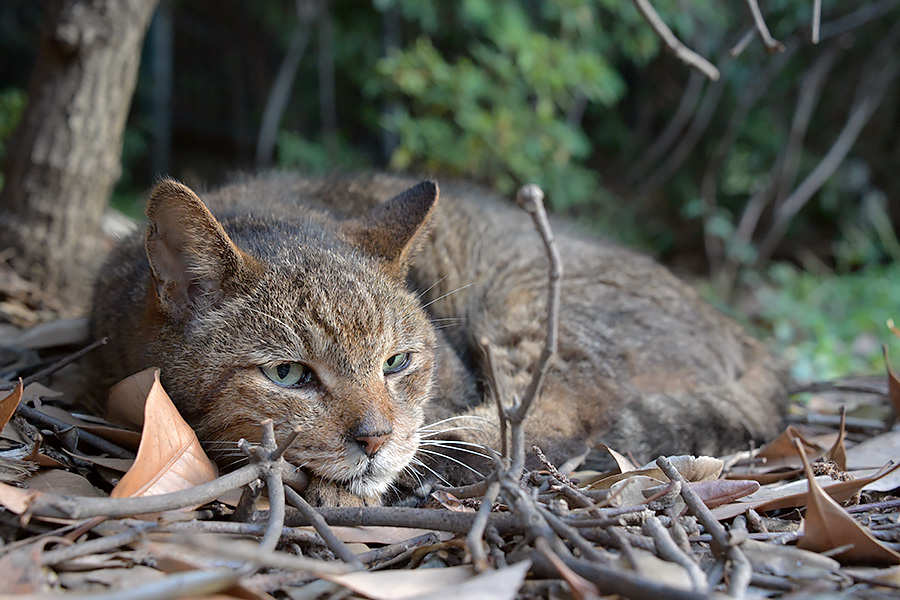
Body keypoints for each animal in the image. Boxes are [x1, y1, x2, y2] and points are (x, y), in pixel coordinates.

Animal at [88, 172, 784, 506]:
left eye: (397, 363)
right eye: (287, 376)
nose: (374, 439)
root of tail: (751, 342)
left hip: (531, 297)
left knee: (563, 416)